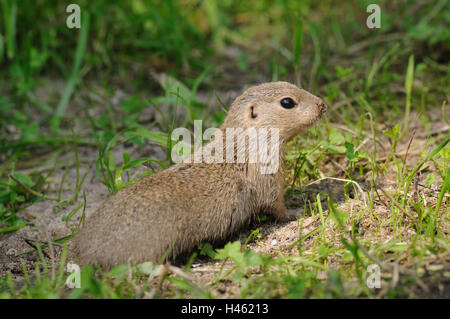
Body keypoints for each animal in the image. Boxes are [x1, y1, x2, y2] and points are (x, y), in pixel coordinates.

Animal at [71, 81, 326, 268]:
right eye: (287, 102)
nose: (322, 104)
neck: (243, 143)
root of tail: (85, 252)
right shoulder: (266, 176)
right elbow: (274, 204)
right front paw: (298, 211)